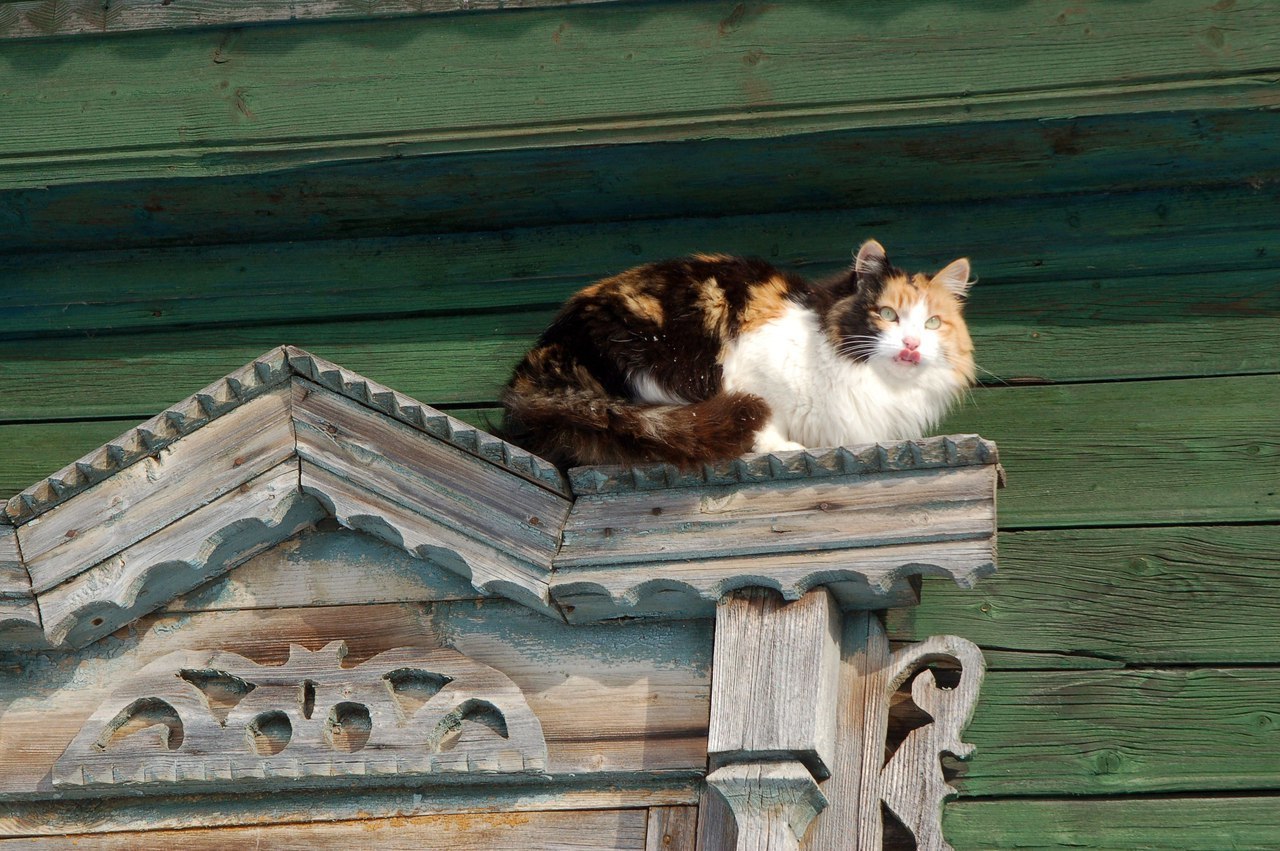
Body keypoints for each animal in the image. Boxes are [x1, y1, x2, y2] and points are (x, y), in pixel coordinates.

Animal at [499, 236, 967, 465]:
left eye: (932, 323)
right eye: (887, 313)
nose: (911, 343)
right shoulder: (750, 367)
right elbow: (766, 420)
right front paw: (784, 447)